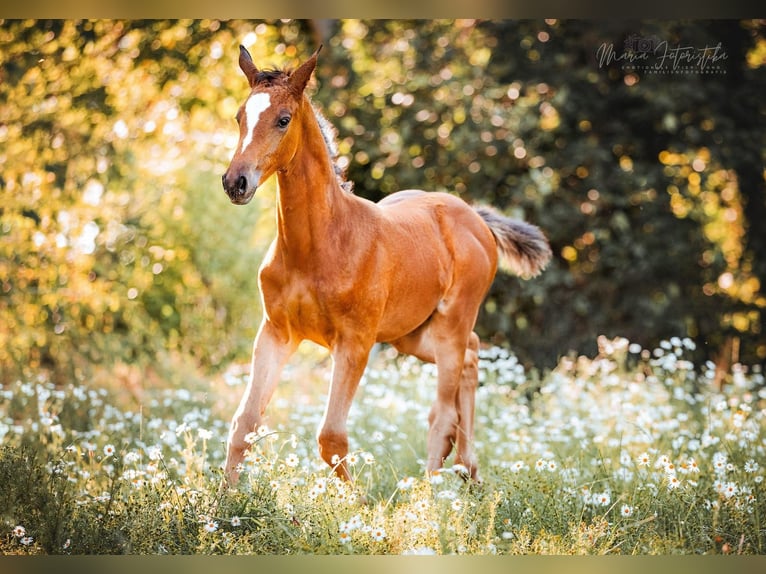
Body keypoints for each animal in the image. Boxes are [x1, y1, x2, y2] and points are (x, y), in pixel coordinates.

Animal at [222, 45, 552, 488]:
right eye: (239, 116)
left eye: (283, 119)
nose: (235, 182)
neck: (319, 245)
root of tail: (477, 218)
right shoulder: (276, 332)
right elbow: (245, 422)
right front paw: (225, 501)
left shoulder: (355, 342)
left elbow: (331, 436)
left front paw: (356, 503)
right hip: (409, 335)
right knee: (472, 354)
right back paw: (467, 470)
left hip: (448, 326)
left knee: (443, 409)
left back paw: (431, 493)